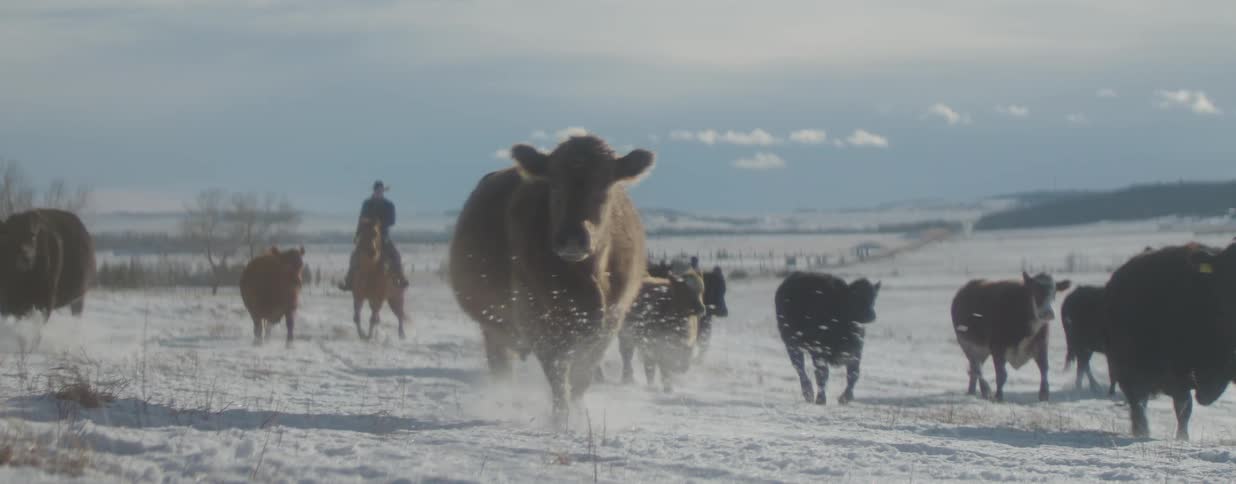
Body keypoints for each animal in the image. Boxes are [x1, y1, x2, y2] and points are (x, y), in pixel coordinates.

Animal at [449, 135, 654, 426]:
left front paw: (577, 414)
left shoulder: (610, 322)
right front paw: (560, 420)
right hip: (493, 328)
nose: (572, 238)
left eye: (605, 186)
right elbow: (558, 373)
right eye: (554, 185)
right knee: (502, 368)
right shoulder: (537, 319)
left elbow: (583, 374)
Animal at [775, 272, 881, 405]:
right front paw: (821, 399)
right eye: (855, 297)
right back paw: (808, 393)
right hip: (791, 345)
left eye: (874, 298)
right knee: (799, 368)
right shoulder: (818, 351)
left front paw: (845, 398)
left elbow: (853, 374)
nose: (871, 315)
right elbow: (822, 374)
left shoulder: (855, 352)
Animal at [951, 272, 1071, 402]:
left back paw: (973, 392)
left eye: (1054, 292)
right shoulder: (997, 348)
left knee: (974, 370)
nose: (1048, 312)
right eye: (1035, 290)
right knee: (976, 367)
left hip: (981, 350)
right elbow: (1001, 375)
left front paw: (1044, 395)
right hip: (967, 345)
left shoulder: (1041, 345)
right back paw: (985, 390)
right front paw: (999, 396)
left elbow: (1044, 369)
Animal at [1105, 242, 1236, 440]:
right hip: (1127, 367)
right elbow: (1184, 407)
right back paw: (1141, 431)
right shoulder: (1178, 370)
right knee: (1137, 401)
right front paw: (1183, 438)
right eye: (1227, 274)